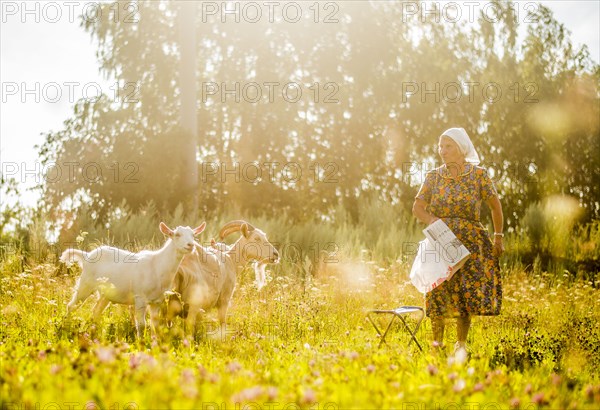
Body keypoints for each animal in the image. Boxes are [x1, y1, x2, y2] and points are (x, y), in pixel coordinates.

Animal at [60, 223, 205, 338]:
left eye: (193, 235)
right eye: (177, 234)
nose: (190, 245)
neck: (157, 265)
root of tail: (86, 256)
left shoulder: (157, 301)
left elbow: (155, 324)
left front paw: (155, 343)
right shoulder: (140, 297)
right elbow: (141, 324)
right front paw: (141, 343)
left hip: (106, 293)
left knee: (96, 311)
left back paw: (94, 333)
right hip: (86, 283)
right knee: (71, 306)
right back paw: (65, 327)